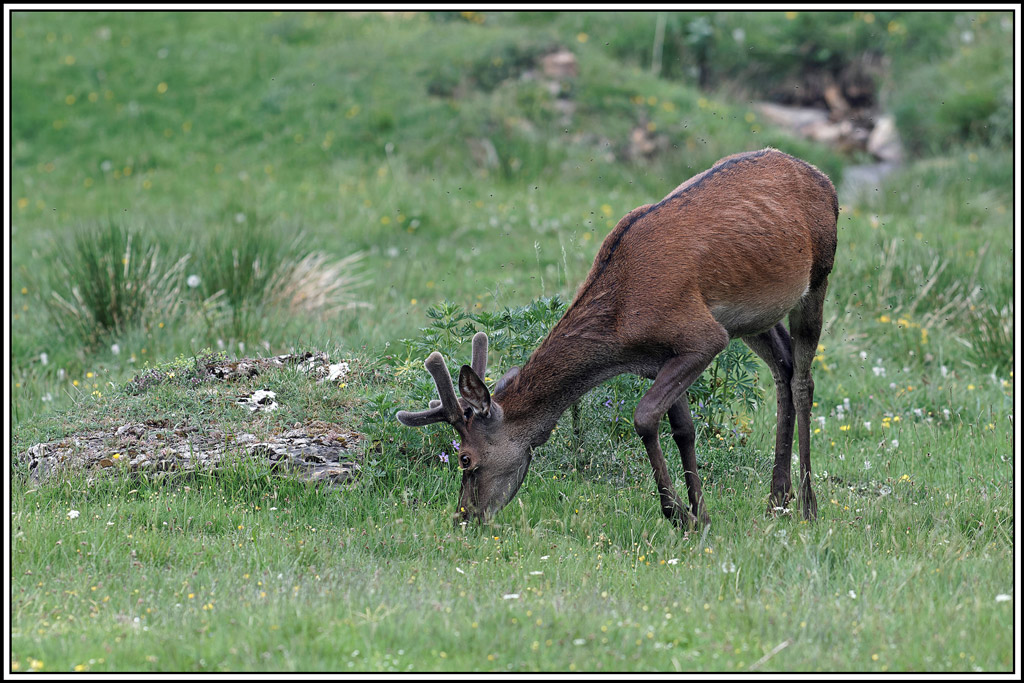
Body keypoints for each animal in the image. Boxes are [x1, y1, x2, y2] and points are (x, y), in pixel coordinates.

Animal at [397, 147, 838, 529]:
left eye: (465, 459)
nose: (464, 516)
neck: (624, 330)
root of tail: (823, 178)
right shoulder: (661, 358)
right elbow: (684, 429)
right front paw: (702, 516)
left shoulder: (703, 336)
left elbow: (644, 417)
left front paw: (678, 516)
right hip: (754, 317)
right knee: (782, 366)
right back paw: (776, 499)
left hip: (819, 274)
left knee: (803, 380)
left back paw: (808, 505)